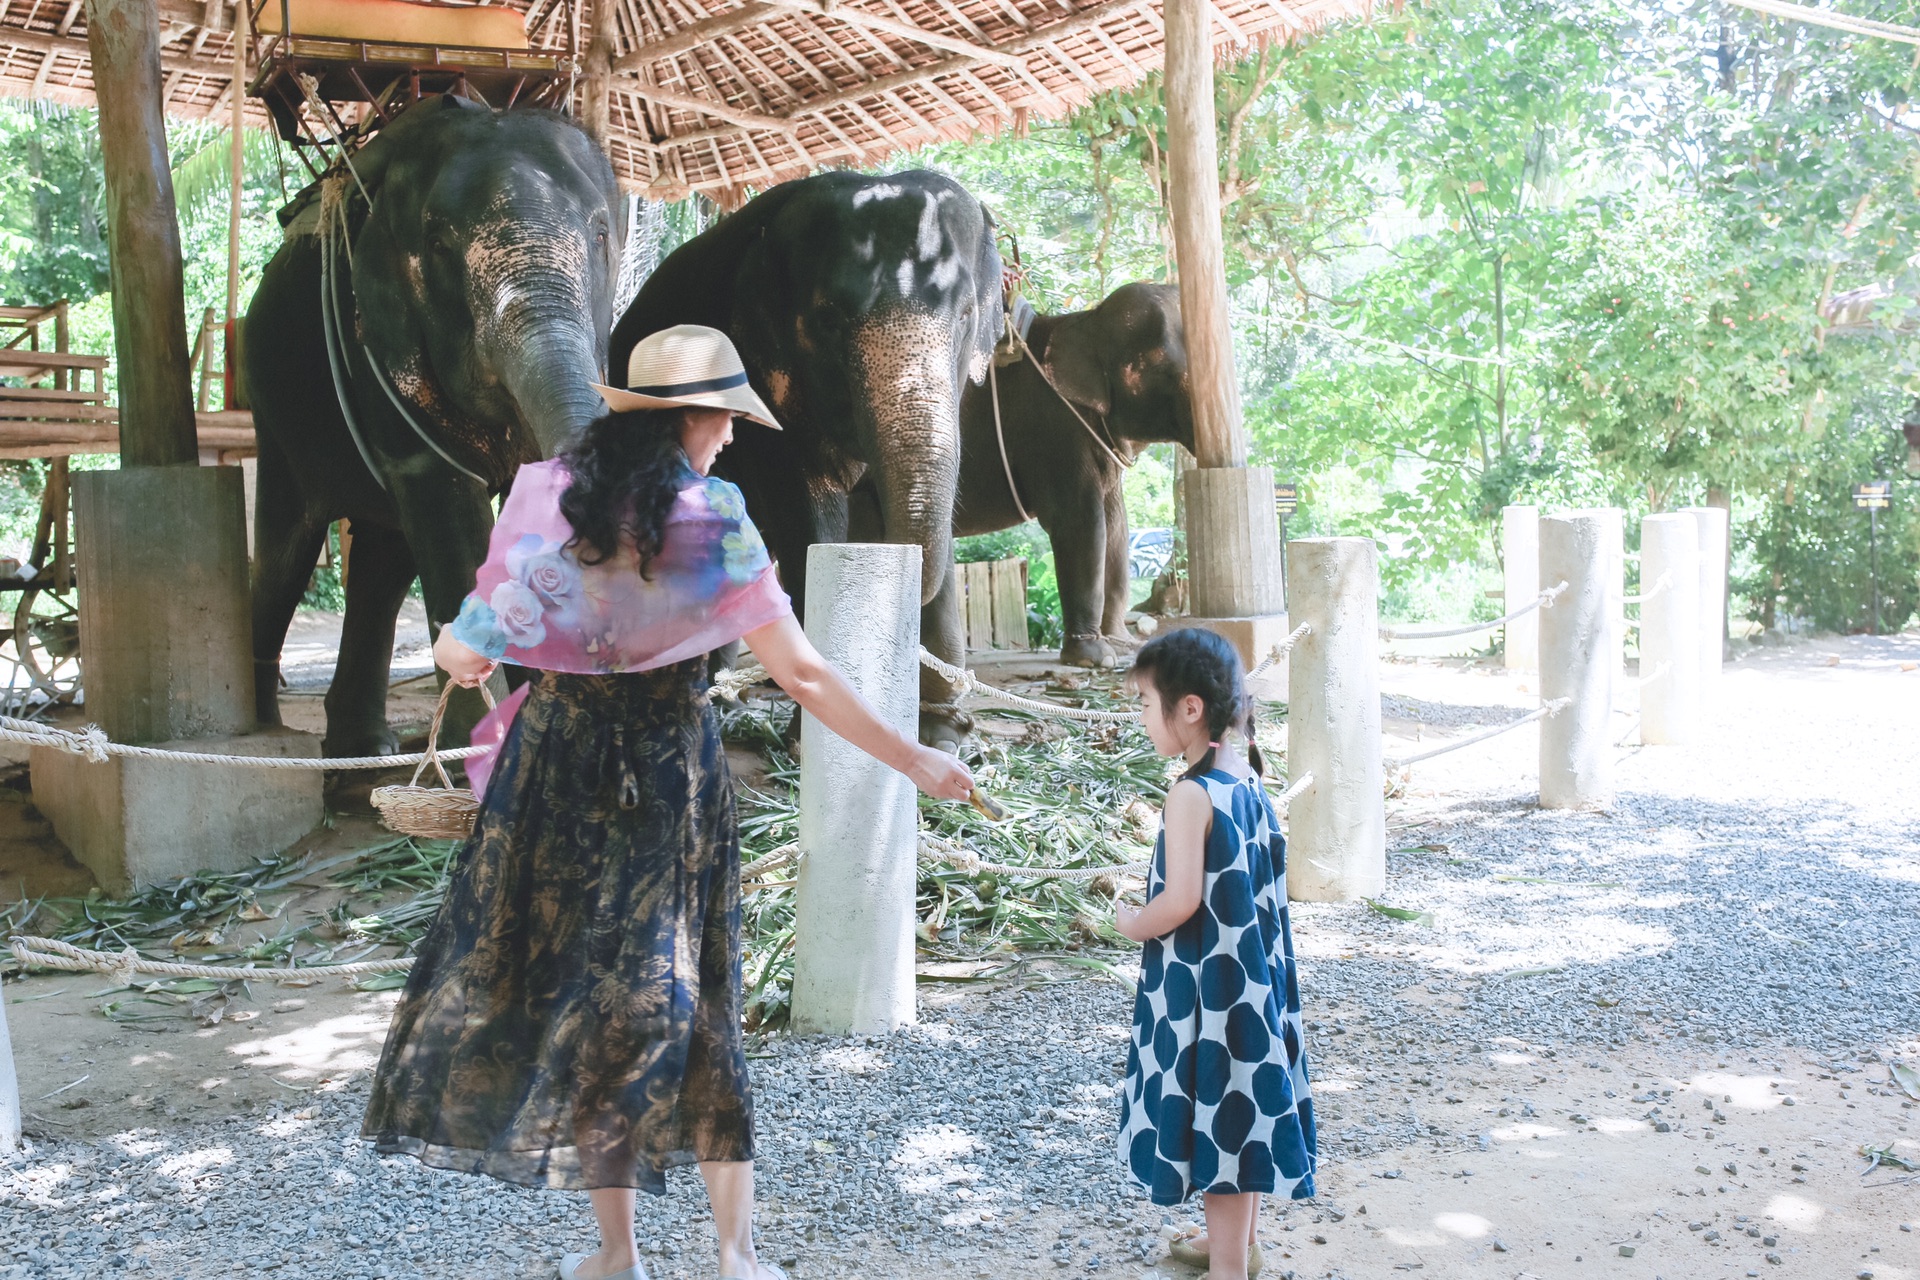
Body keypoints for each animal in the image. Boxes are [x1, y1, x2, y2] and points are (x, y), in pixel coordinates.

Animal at [245, 102, 622, 759]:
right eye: (440, 246)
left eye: (601, 235)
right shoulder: (376, 344)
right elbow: (446, 506)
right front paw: (481, 753)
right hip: (274, 406)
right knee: (284, 554)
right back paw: (262, 725)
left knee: (384, 554)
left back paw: (361, 747)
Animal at [614, 169, 1006, 752]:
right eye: (828, 320)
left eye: (965, 316)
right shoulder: (759, 391)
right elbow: (812, 515)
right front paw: (814, 738)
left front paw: (938, 735)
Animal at [852, 278, 1182, 671]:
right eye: (1169, 371)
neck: (1084, 321)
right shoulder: (1053, 430)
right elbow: (1079, 522)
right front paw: (1095, 658)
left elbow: (1117, 526)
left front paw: (1121, 643)